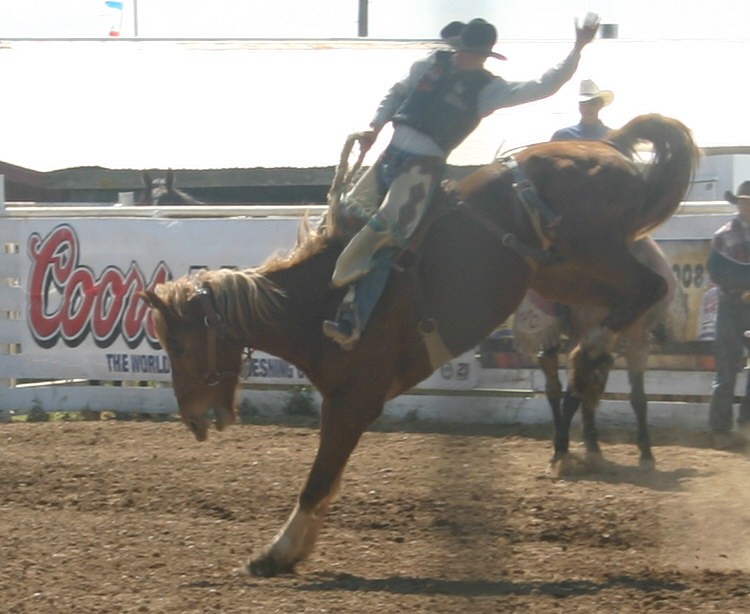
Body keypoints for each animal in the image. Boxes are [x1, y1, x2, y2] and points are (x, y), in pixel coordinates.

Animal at [516, 236, 688, 476]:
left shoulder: (637, 343)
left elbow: (638, 398)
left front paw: (646, 454)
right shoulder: (579, 339)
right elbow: (571, 397)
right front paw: (562, 454)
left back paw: (591, 449)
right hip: (552, 341)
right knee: (554, 390)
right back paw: (562, 447)